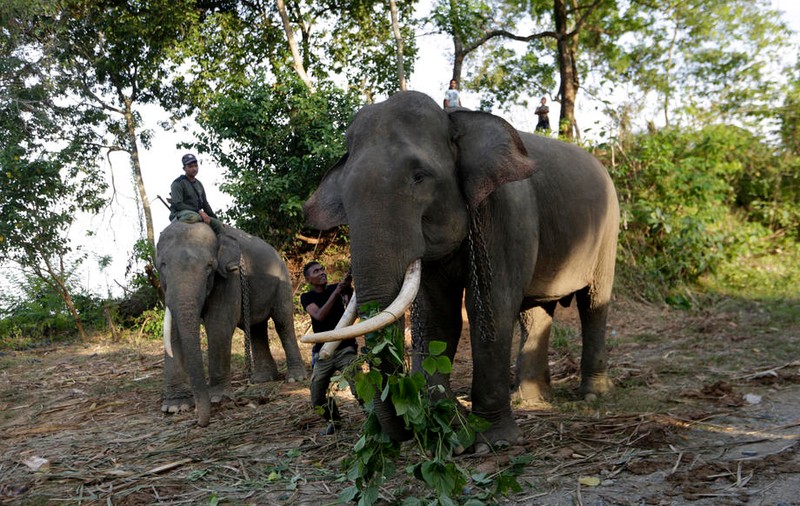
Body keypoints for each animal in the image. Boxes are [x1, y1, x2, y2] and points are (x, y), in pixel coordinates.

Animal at [156, 221, 308, 426]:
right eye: (163, 265)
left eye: (209, 267)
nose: (201, 422)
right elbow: (172, 333)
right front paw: (175, 407)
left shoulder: (229, 276)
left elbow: (218, 324)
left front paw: (217, 398)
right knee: (256, 327)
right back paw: (262, 379)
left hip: (283, 281)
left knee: (283, 323)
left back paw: (295, 378)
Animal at [302, 91, 619, 451]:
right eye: (344, 194)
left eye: (420, 177)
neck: (454, 119)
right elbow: (438, 316)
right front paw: (450, 425)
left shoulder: (506, 212)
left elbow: (491, 310)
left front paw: (491, 441)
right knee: (535, 312)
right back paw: (530, 398)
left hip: (608, 229)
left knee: (593, 303)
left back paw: (592, 395)